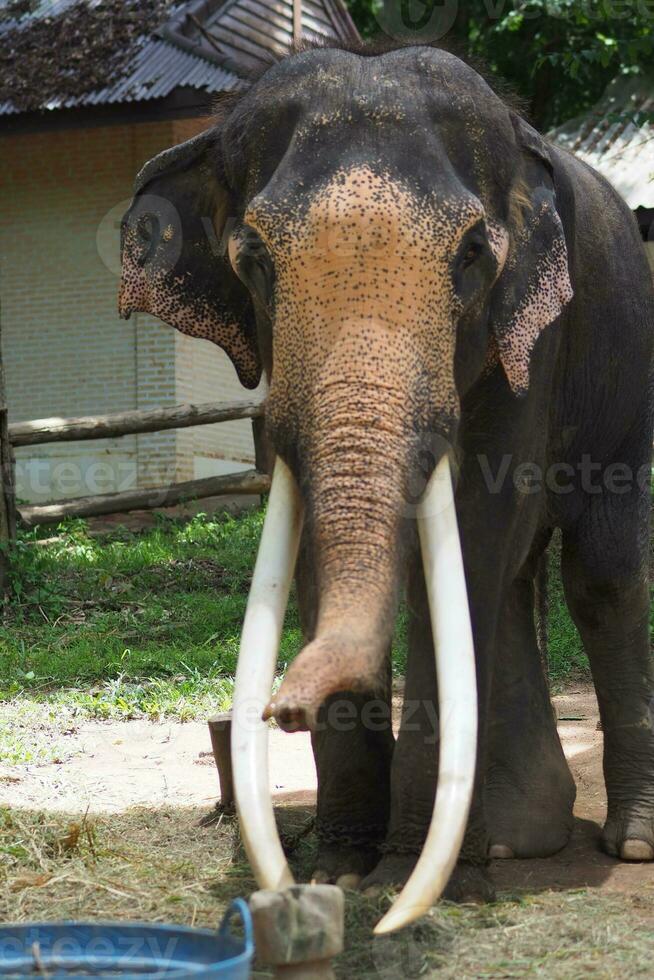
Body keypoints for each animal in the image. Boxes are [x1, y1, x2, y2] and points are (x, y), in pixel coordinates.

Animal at [118, 42, 654, 936]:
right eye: (253, 259)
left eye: (471, 253)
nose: (282, 709)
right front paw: (340, 871)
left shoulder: (529, 339)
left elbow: (474, 530)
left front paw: (414, 880)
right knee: (517, 583)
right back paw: (514, 841)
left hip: (627, 369)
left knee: (601, 575)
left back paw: (630, 842)